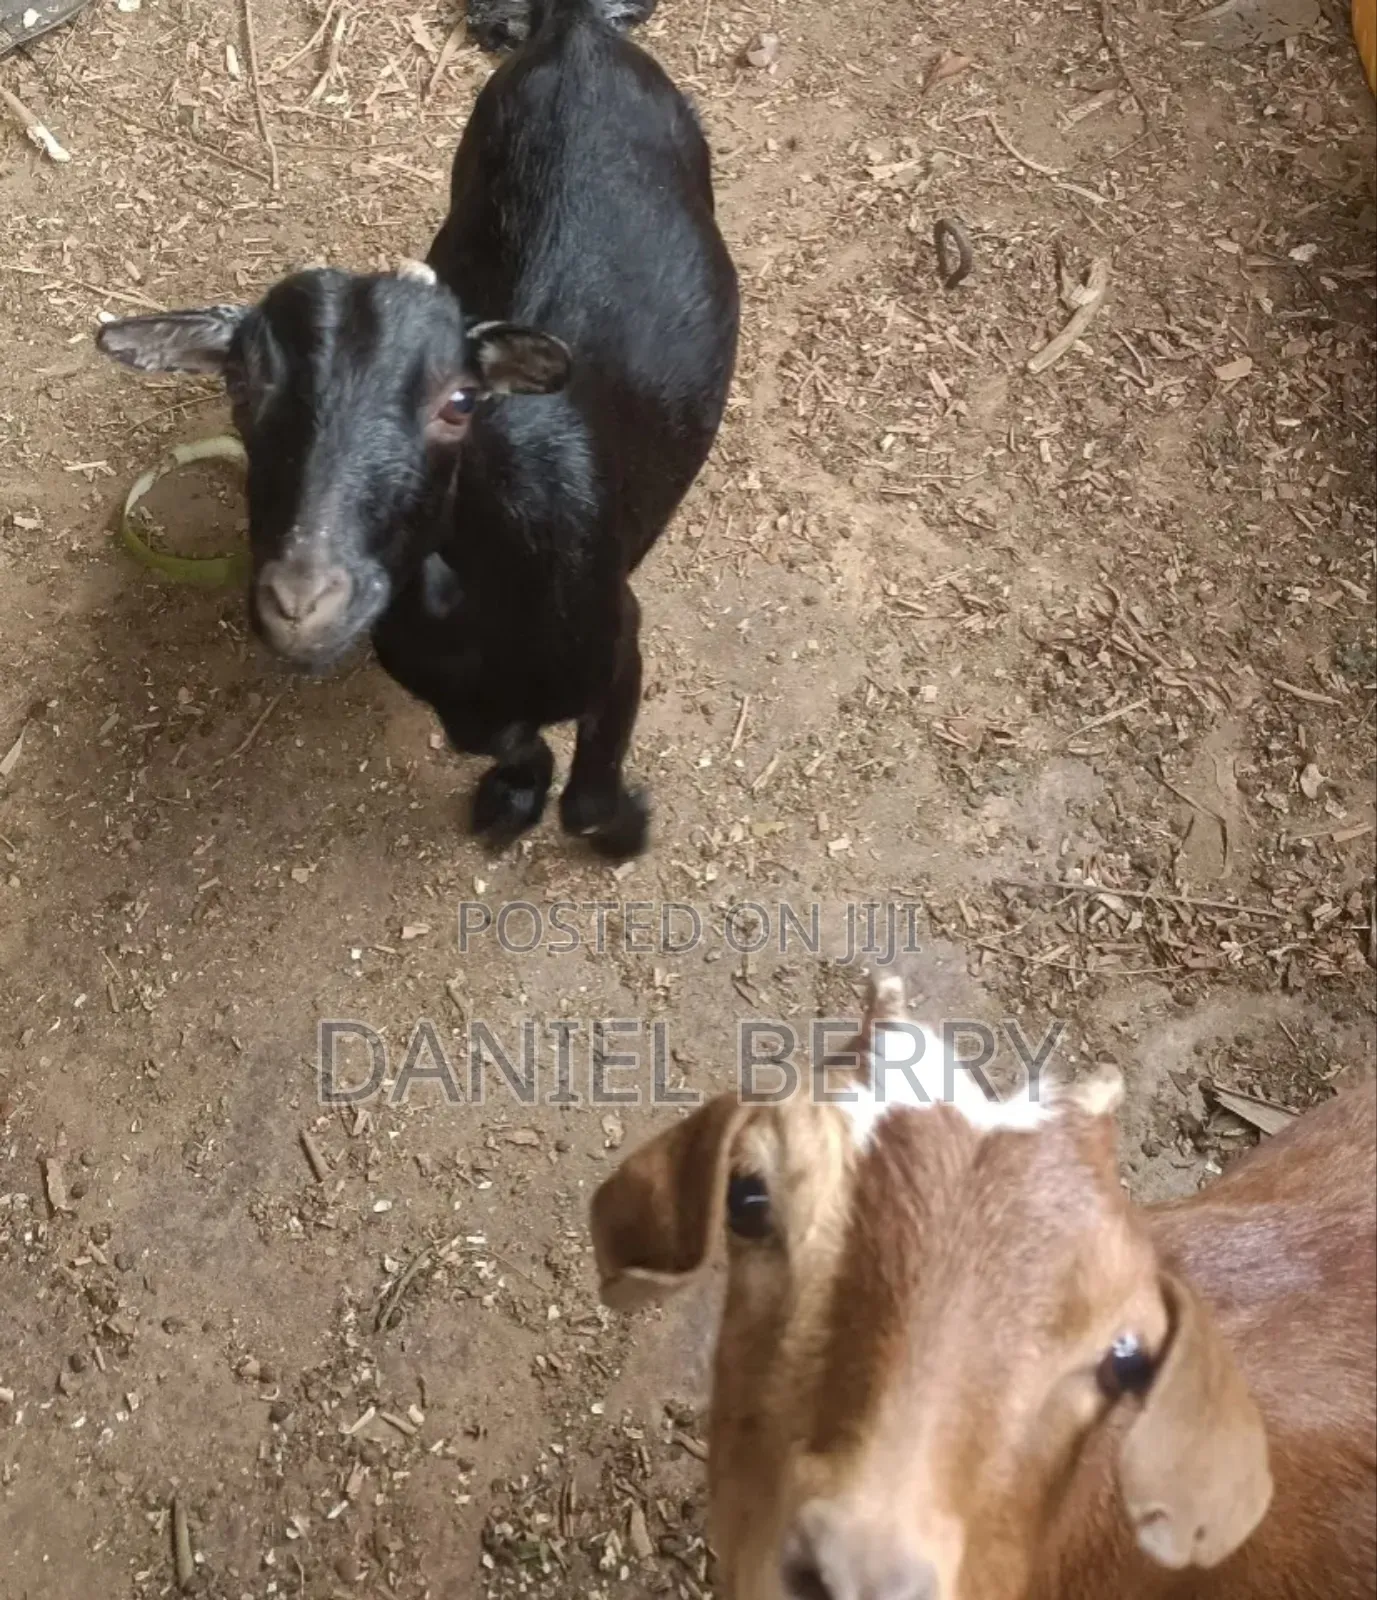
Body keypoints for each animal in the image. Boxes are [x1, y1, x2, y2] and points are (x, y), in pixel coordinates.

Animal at [94, 0, 738, 860]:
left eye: (461, 401)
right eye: (239, 384)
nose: (303, 602)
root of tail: (575, 31)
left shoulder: (617, 643)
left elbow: (587, 800)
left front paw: (626, 829)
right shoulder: (455, 695)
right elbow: (512, 746)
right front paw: (511, 799)